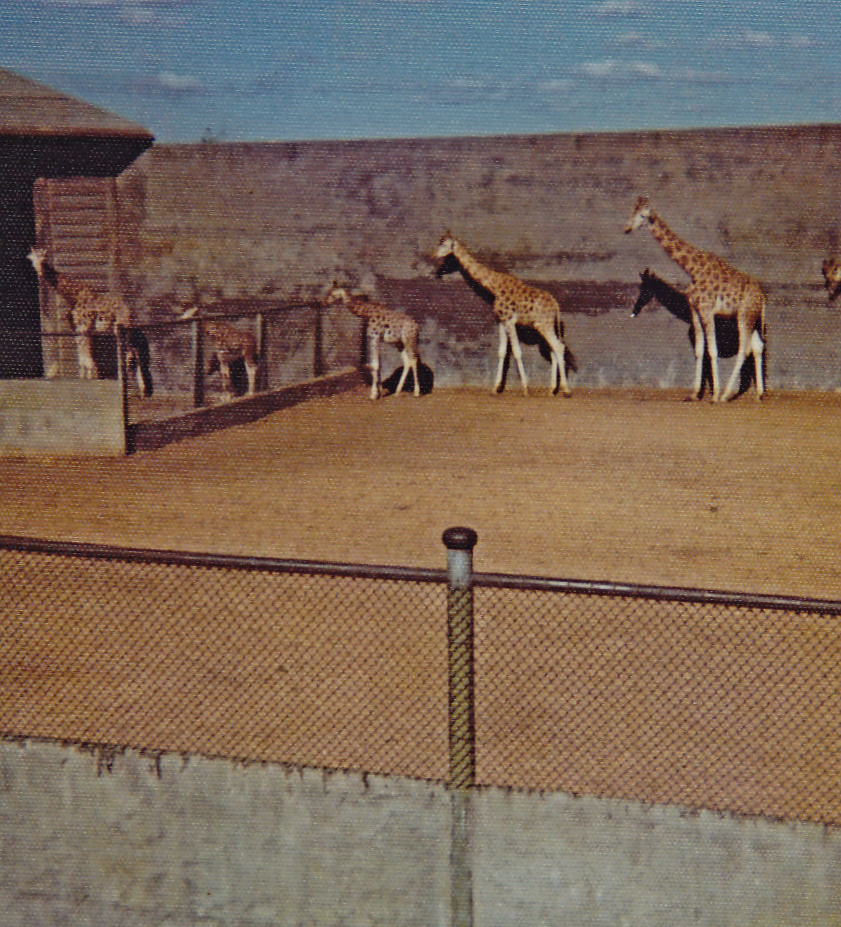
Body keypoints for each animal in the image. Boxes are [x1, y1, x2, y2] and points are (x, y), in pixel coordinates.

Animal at [27, 247, 150, 396]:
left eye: (44, 259)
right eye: (32, 259)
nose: (39, 272)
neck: (72, 296)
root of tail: (130, 312)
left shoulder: (83, 327)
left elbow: (85, 351)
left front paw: (90, 376)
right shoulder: (81, 329)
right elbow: (83, 352)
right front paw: (85, 376)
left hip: (121, 330)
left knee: (129, 355)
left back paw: (124, 383)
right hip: (128, 332)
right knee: (135, 353)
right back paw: (142, 390)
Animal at [434, 232, 572, 396]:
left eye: (444, 244)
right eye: (440, 242)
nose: (434, 255)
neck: (494, 286)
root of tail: (555, 305)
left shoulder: (510, 321)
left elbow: (517, 352)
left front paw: (525, 388)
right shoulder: (501, 321)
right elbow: (501, 352)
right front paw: (495, 388)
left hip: (544, 324)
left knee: (559, 347)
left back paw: (566, 390)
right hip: (543, 326)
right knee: (553, 350)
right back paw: (552, 390)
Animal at [624, 197, 766, 402]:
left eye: (642, 215)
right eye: (632, 212)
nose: (627, 228)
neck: (692, 270)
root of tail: (763, 298)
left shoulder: (707, 310)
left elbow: (713, 350)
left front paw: (714, 395)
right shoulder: (695, 311)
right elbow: (700, 350)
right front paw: (693, 394)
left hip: (744, 316)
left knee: (744, 349)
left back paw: (725, 395)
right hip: (751, 318)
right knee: (757, 346)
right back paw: (759, 394)